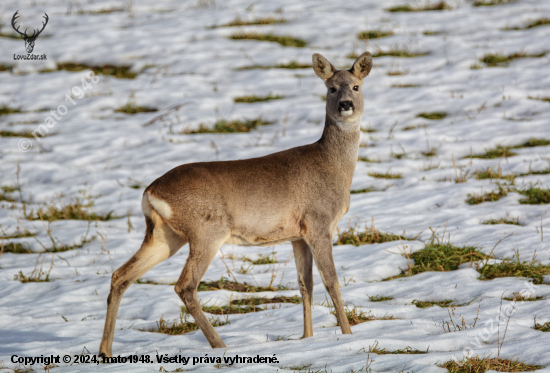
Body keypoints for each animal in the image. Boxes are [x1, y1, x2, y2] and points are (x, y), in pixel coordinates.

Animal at [99, 50, 376, 356]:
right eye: (331, 88)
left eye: (356, 86)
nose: (345, 105)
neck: (332, 166)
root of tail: (150, 191)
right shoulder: (319, 223)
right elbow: (331, 281)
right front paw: (348, 335)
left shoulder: (297, 235)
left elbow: (306, 284)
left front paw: (307, 338)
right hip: (206, 231)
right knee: (184, 286)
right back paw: (221, 345)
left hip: (164, 235)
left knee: (120, 275)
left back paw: (105, 351)